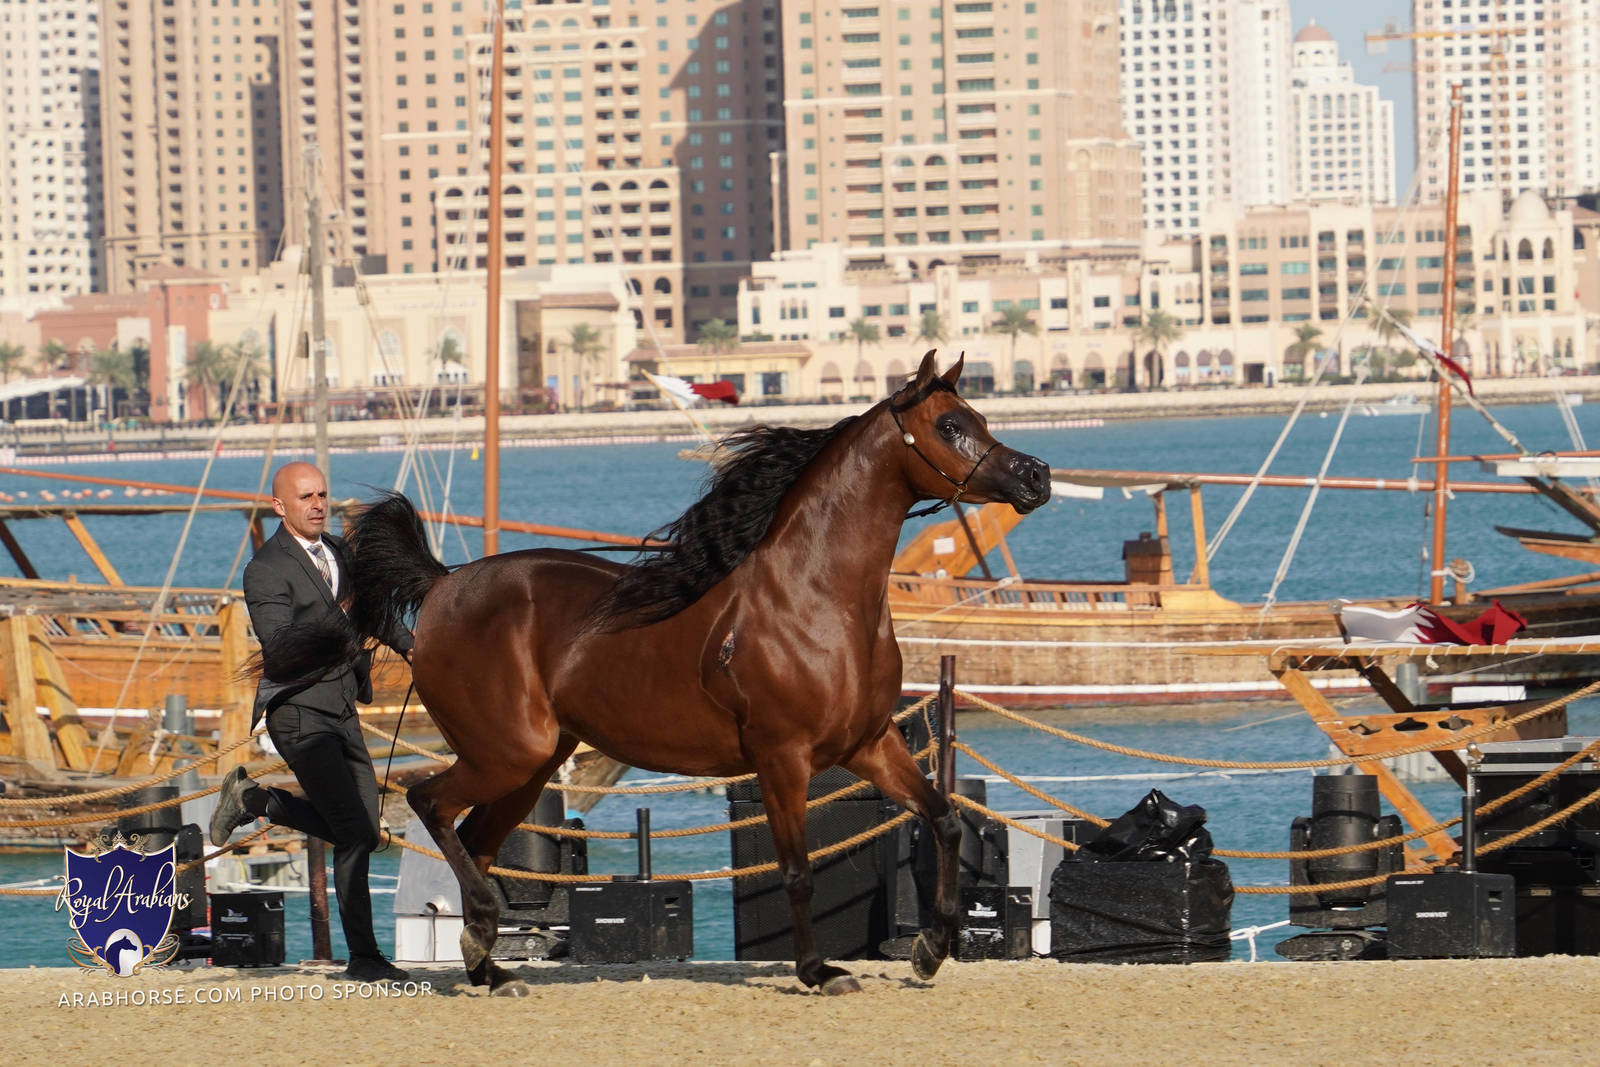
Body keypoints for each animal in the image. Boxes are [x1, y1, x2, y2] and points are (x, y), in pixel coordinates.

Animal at [341, 350, 1050, 995]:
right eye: (950, 426)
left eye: (981, 418)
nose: (1037, 476)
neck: (816, 598)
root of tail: (442, 585)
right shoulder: (782, 758)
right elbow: (797, 870)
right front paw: (820, 972)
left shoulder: (871, 745)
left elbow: (945, 819)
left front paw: (930, 951)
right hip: (506, 754)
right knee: (429, 805)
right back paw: (483, 940)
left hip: (531, 764)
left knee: (475, 838)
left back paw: (488, 968)